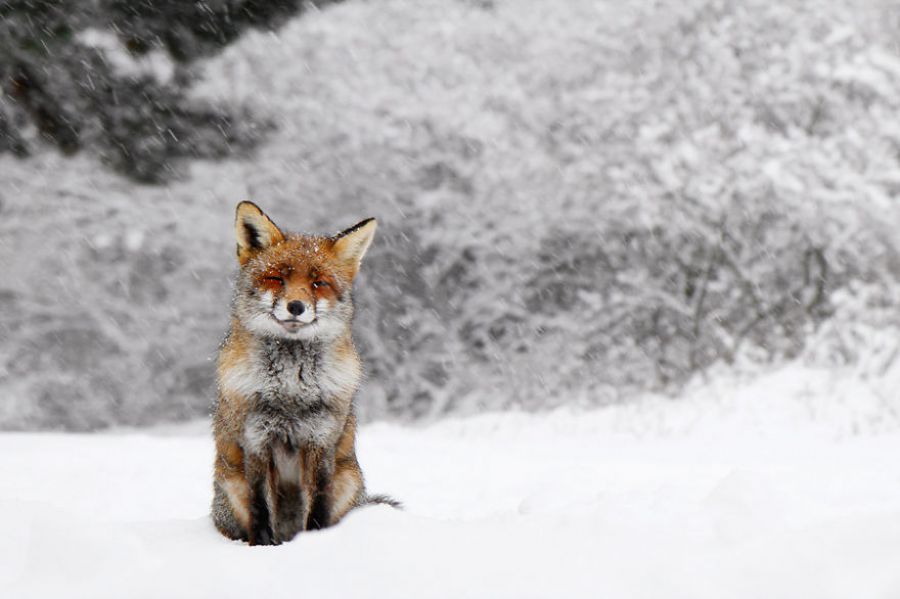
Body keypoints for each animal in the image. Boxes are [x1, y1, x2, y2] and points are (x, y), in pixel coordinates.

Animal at [211, 201, 396, 545]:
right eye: (276, 279)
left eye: (318, 283)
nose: (296, 306)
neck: (290, 389)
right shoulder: (256, 441)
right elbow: (261, 509)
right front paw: (262, 548)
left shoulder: (320, 440)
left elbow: (318, 506)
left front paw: (314, 545)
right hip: (232, 484)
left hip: (347, 480)